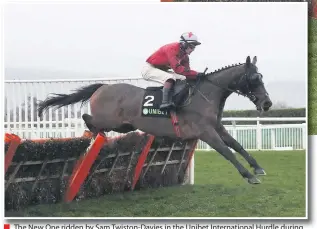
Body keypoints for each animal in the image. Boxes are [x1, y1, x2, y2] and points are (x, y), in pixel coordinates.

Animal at [38, 56, 272, 185]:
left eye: (261, 77)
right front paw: (248, 175)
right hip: (111, 121)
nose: (267, 103)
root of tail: (102, 87)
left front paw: (257, 167)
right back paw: (95, 136)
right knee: (88, 119)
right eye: (254, 79)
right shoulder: (205, 132)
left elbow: (237, 145)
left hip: (123, 126)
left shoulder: (217, 127)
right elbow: (227, 151)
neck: (206, 94)